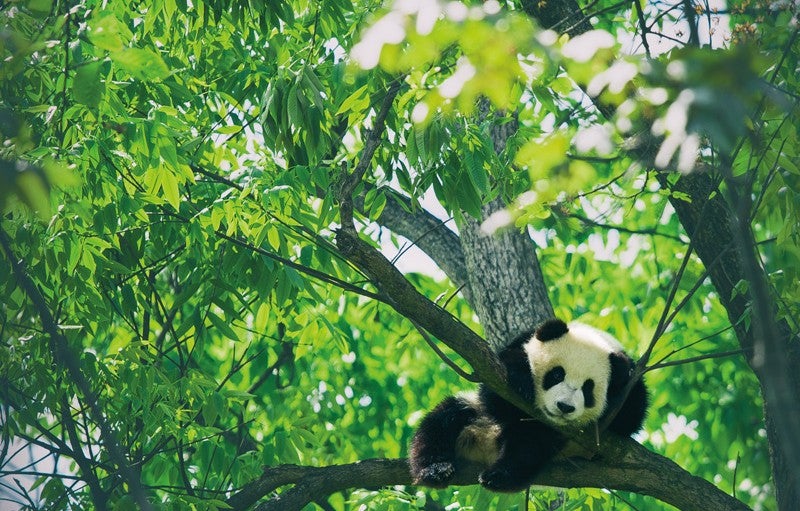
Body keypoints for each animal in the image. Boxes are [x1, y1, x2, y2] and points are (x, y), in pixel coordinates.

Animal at [410, 320, 648, 492]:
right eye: (557, 374)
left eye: (588, 389)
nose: (564, 407)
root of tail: (487, 446)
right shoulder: (518, 344)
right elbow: (496, 389)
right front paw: (522, 380)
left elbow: (631, 417)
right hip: (476, 414)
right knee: (444, 420)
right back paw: (435, 469)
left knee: (527, 447)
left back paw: (498, 476)